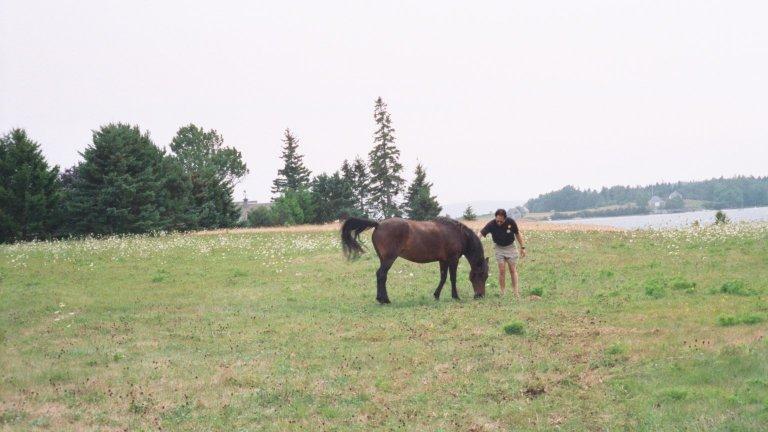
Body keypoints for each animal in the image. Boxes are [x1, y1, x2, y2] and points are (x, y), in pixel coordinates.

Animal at [341, 217, 489, 304]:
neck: (457, 233)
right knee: (381, 275)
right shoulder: (453, 259)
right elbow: (452, 278)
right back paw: (384, 300)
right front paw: (455, 296)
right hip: (389, 259)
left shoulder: (443, 260)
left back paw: (382, 298)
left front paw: (436, 295)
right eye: (483, 275)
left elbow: (443, 278)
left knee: (381, 276)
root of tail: (379, 224)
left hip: (383, 259)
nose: (480, 295)